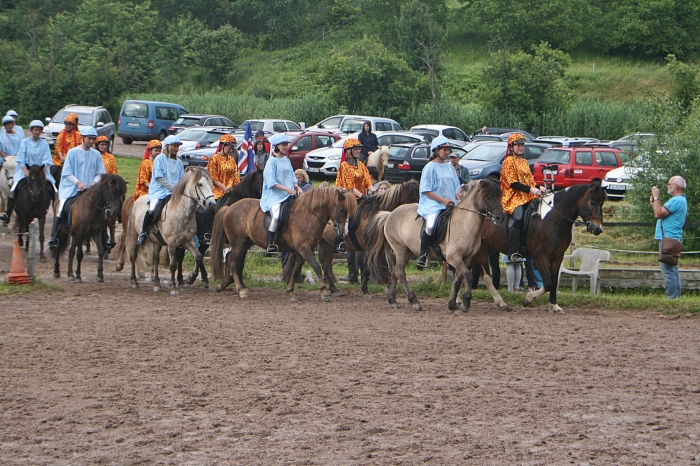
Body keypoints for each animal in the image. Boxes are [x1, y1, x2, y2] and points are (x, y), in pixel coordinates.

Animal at [364, 180, 506, 314]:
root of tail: (390, 214)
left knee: (394, 271)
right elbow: (468, 276)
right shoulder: (454, 258)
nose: (500, 218)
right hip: (400, 250)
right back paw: (414, 301)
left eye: (499, 195)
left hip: (407, 251)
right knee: (400, 272)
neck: (464, 223)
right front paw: (465, 303)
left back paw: (393, 301)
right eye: (487, 196)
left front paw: (453, 305)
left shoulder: (465, 259)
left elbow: (458, 281)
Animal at [476, 178, 608, 314]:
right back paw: (501, 303)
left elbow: (554, 282)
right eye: (592, 202)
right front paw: (529, 298)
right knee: (486, 276)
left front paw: (554, 306)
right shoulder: (540, 257)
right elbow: (548, 283)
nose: (598, 229)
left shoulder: (557, 257)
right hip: (481, 249)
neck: (552, 218)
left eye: (601, 203)